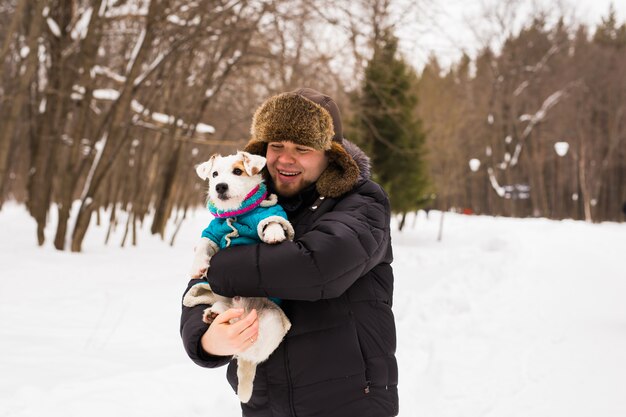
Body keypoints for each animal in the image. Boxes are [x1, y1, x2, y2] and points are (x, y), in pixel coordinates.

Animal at [183, 150, 292, 404]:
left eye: (238, 171)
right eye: (214, 174)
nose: (220, 186)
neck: (237, 213)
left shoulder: (271, 214)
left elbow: (273, 221)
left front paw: (273, 234)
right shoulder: (212, 232)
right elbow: (204, 244)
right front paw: (198, 266)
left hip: (272, 321)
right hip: (223, 300)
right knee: (225, 310)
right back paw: (214, 315)